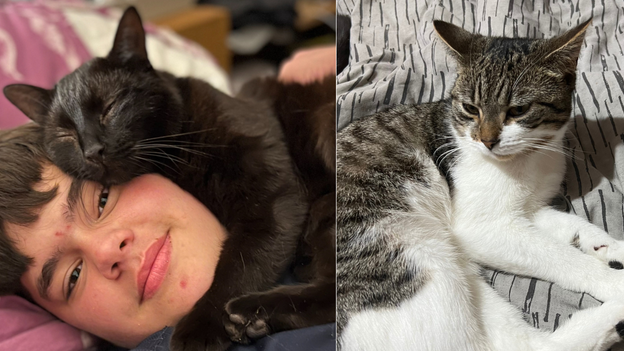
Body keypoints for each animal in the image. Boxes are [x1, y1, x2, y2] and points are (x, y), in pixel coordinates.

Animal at [4, 6, 336, 351]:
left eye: (110, 107)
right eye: (64, 134)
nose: (93, 151)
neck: (176, 160)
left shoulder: (271, 199)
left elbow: (238, 266)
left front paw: (199, 329)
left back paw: (251, 311)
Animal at [336, 20, 624, 351]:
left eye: (518, 110)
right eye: (470, 108)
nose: (487, 140)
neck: (530, 158)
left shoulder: (528, 209)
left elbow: (573, 226)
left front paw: (610, 247)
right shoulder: (481, 227)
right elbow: (561, 256)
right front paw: (615, 281)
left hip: (464, 276)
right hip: (420, 259)